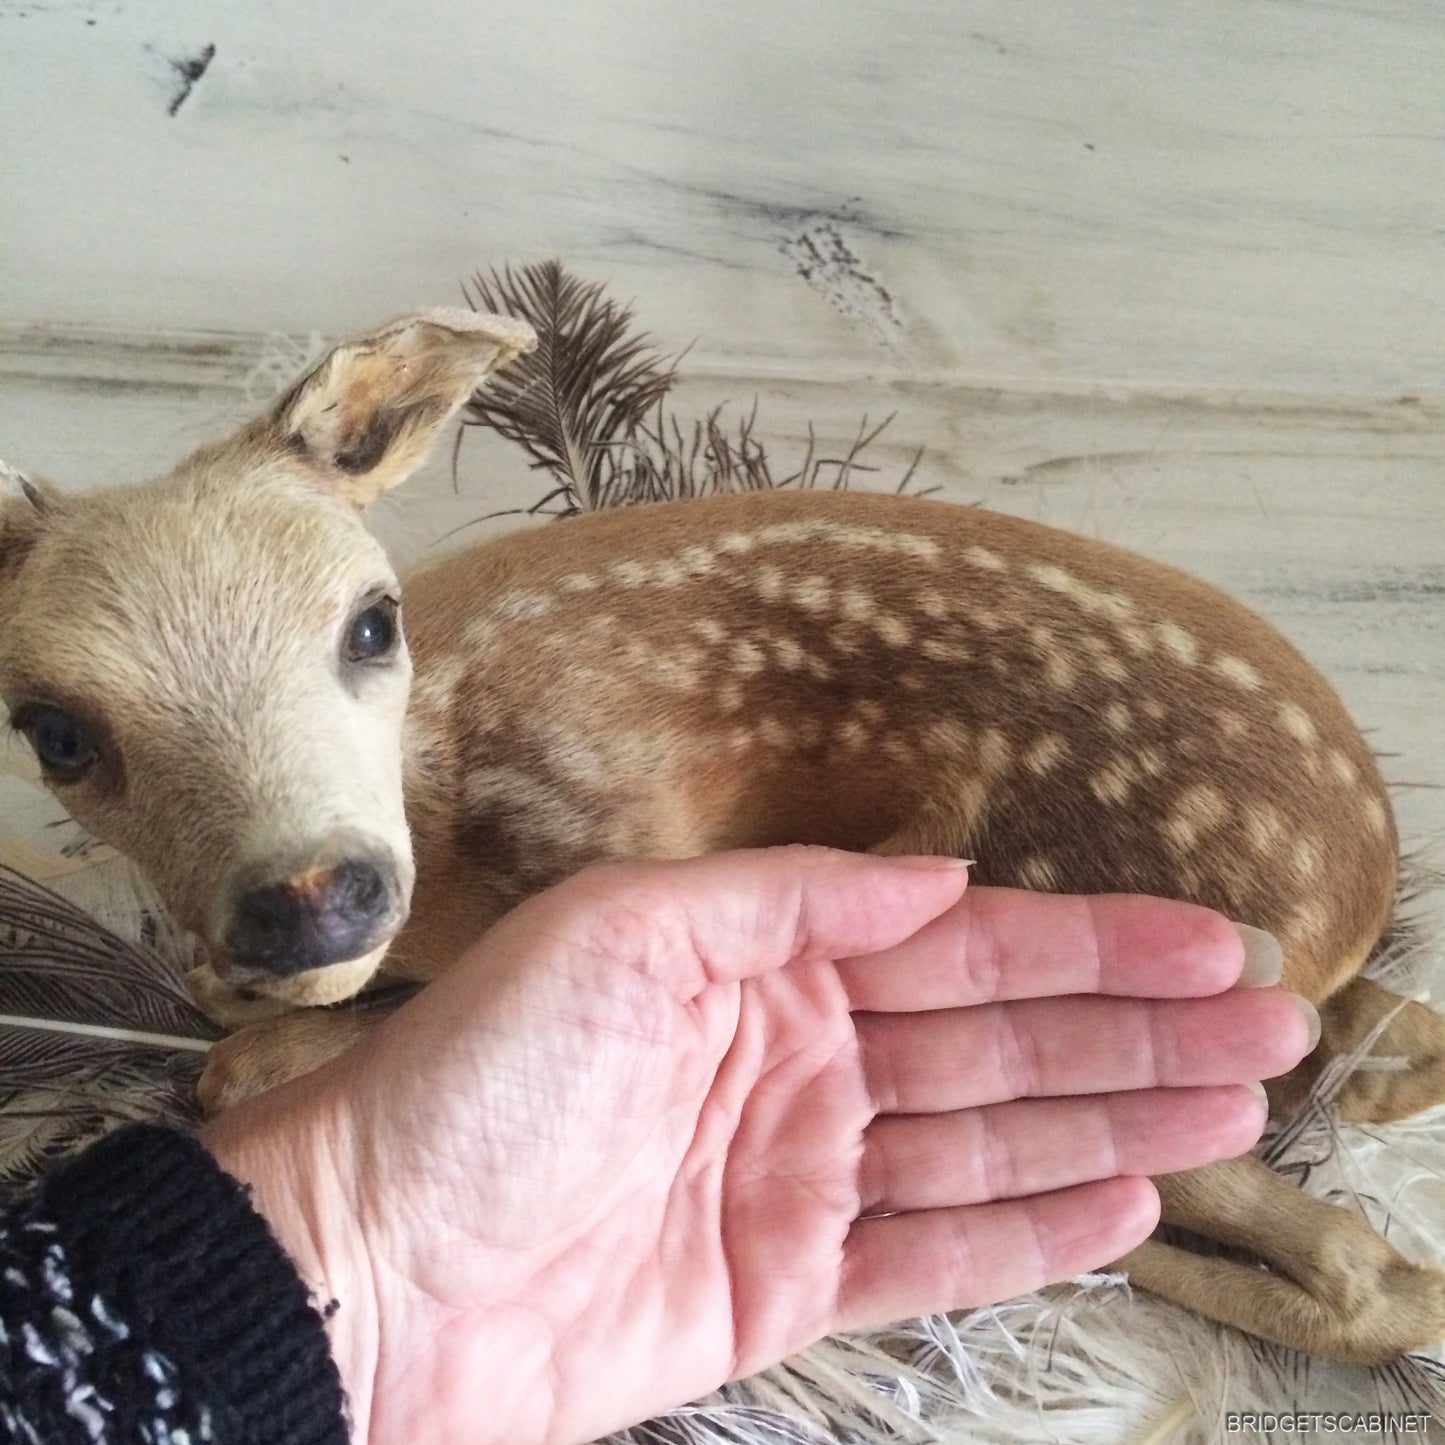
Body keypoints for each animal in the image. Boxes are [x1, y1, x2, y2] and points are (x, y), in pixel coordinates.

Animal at [1, 308, 1443, 1366]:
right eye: (53, 730)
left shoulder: (621, 831)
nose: (309, 895)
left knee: (1363, 1267)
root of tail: (1358, 886)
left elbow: (238, 1068)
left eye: (370, 620)